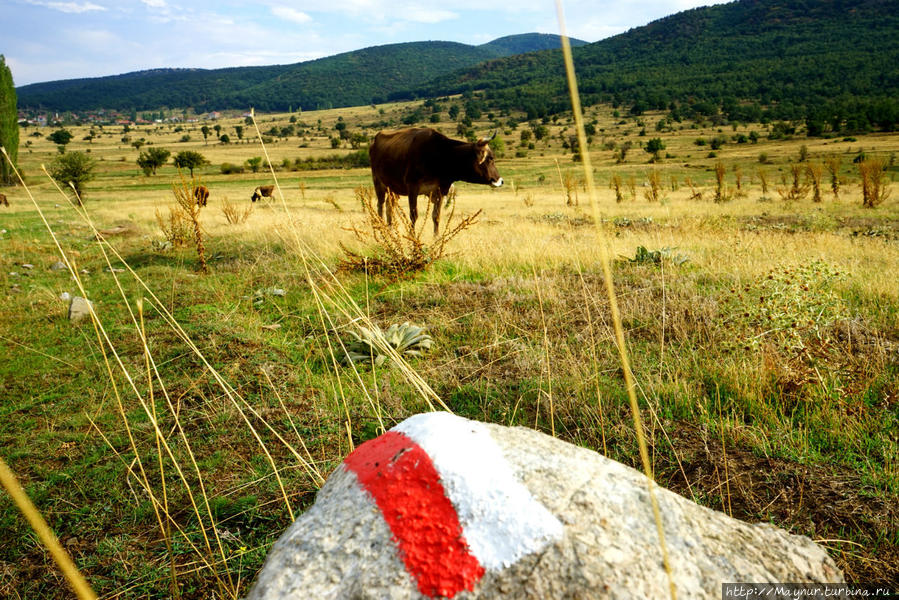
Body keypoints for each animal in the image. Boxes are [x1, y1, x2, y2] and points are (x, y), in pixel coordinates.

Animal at [368, 127, 506, 233]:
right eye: (490, 158)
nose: (500, 180)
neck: (440, 155)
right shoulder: (412, 188)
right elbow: (414, 215)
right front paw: (413, 239)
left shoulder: (440, 190)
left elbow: (436, 216)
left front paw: (436, 238)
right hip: (378, 182)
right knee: (380, 206)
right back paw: (382, 231)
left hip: (393, 188)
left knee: (389, 207)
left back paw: (390, 231)